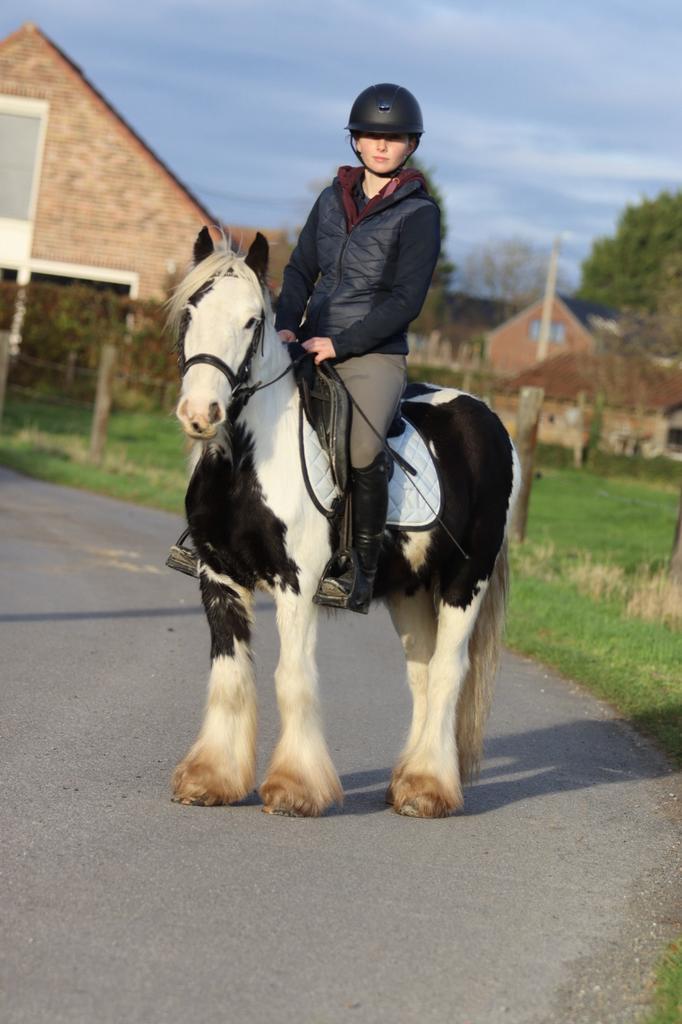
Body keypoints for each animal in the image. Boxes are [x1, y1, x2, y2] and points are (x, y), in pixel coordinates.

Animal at [166, 227, 520, 818]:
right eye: (190, 312)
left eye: (252, 321)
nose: (201, 414)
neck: (247, 459)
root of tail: (489, 419)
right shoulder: (218, 576)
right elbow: (230, 676)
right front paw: (210, 779)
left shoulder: (298, 584)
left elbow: (292, 679)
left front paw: (294, 788)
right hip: (408, 591)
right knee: (422, 674)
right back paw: (406, 784)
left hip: (463, 581)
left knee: (448, 673)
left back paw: (429, 788)